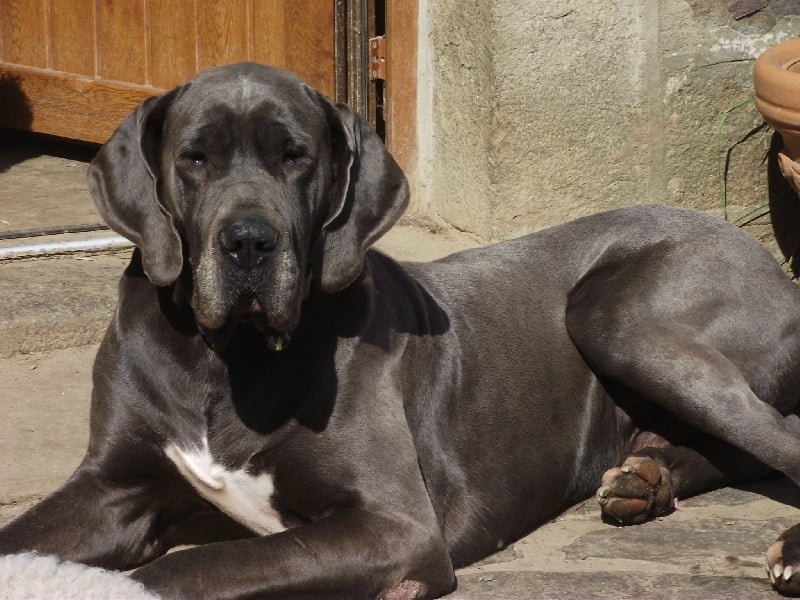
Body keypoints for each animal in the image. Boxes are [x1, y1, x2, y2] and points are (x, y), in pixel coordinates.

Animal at [1, 63, 800, 596]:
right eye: (193, 158)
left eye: (296, 156)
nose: (249, 242)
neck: (221, 358)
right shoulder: (112, 487)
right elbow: (21, 539)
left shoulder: (396, 525)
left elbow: (190, 566)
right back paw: (645, 480)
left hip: (615, 318)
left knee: (782, 438)